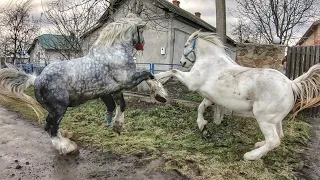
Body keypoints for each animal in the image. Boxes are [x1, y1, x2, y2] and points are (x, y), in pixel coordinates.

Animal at [156, 30, 320, 161]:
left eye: (185, 45)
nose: (182, 62)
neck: (210, 61)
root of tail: (290, 84)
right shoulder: (210, 97)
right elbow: (201, 107)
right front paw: (202, 124)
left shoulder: (192, 82)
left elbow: (173, 71)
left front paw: (159, 78)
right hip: (275, 119)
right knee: (279, 136)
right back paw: (259, 145)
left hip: (264, 118)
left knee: (274, 140)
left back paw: (251, 156)